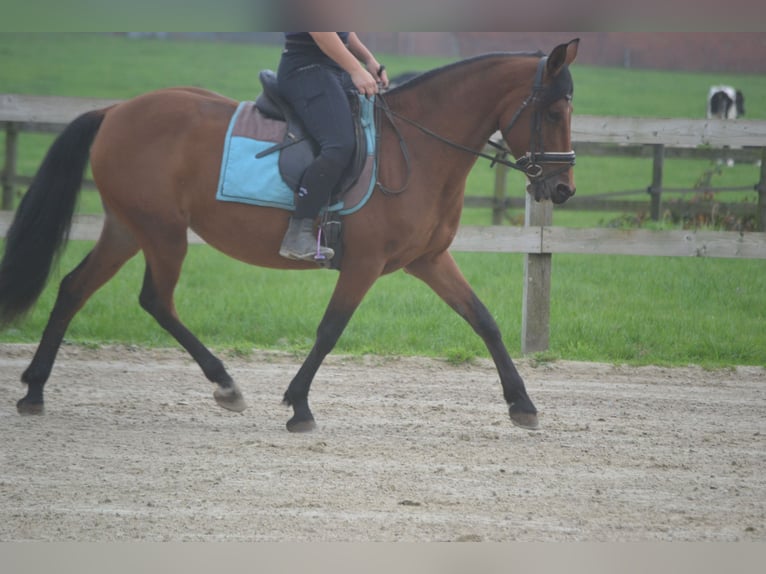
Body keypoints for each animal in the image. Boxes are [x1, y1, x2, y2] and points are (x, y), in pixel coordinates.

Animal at [0, 38, 576, 432]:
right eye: (552, 111)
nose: (563, 188)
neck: (416, 145)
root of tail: (116, 110)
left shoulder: (429, 260)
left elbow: (484, 321)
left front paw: (522, 403)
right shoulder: (364, 264)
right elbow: (330, 330)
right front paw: (299, 405)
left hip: (127, 227)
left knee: (75, 288)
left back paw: (35, 390)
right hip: (162, 231)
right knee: (155, 300)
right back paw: (226, 385)